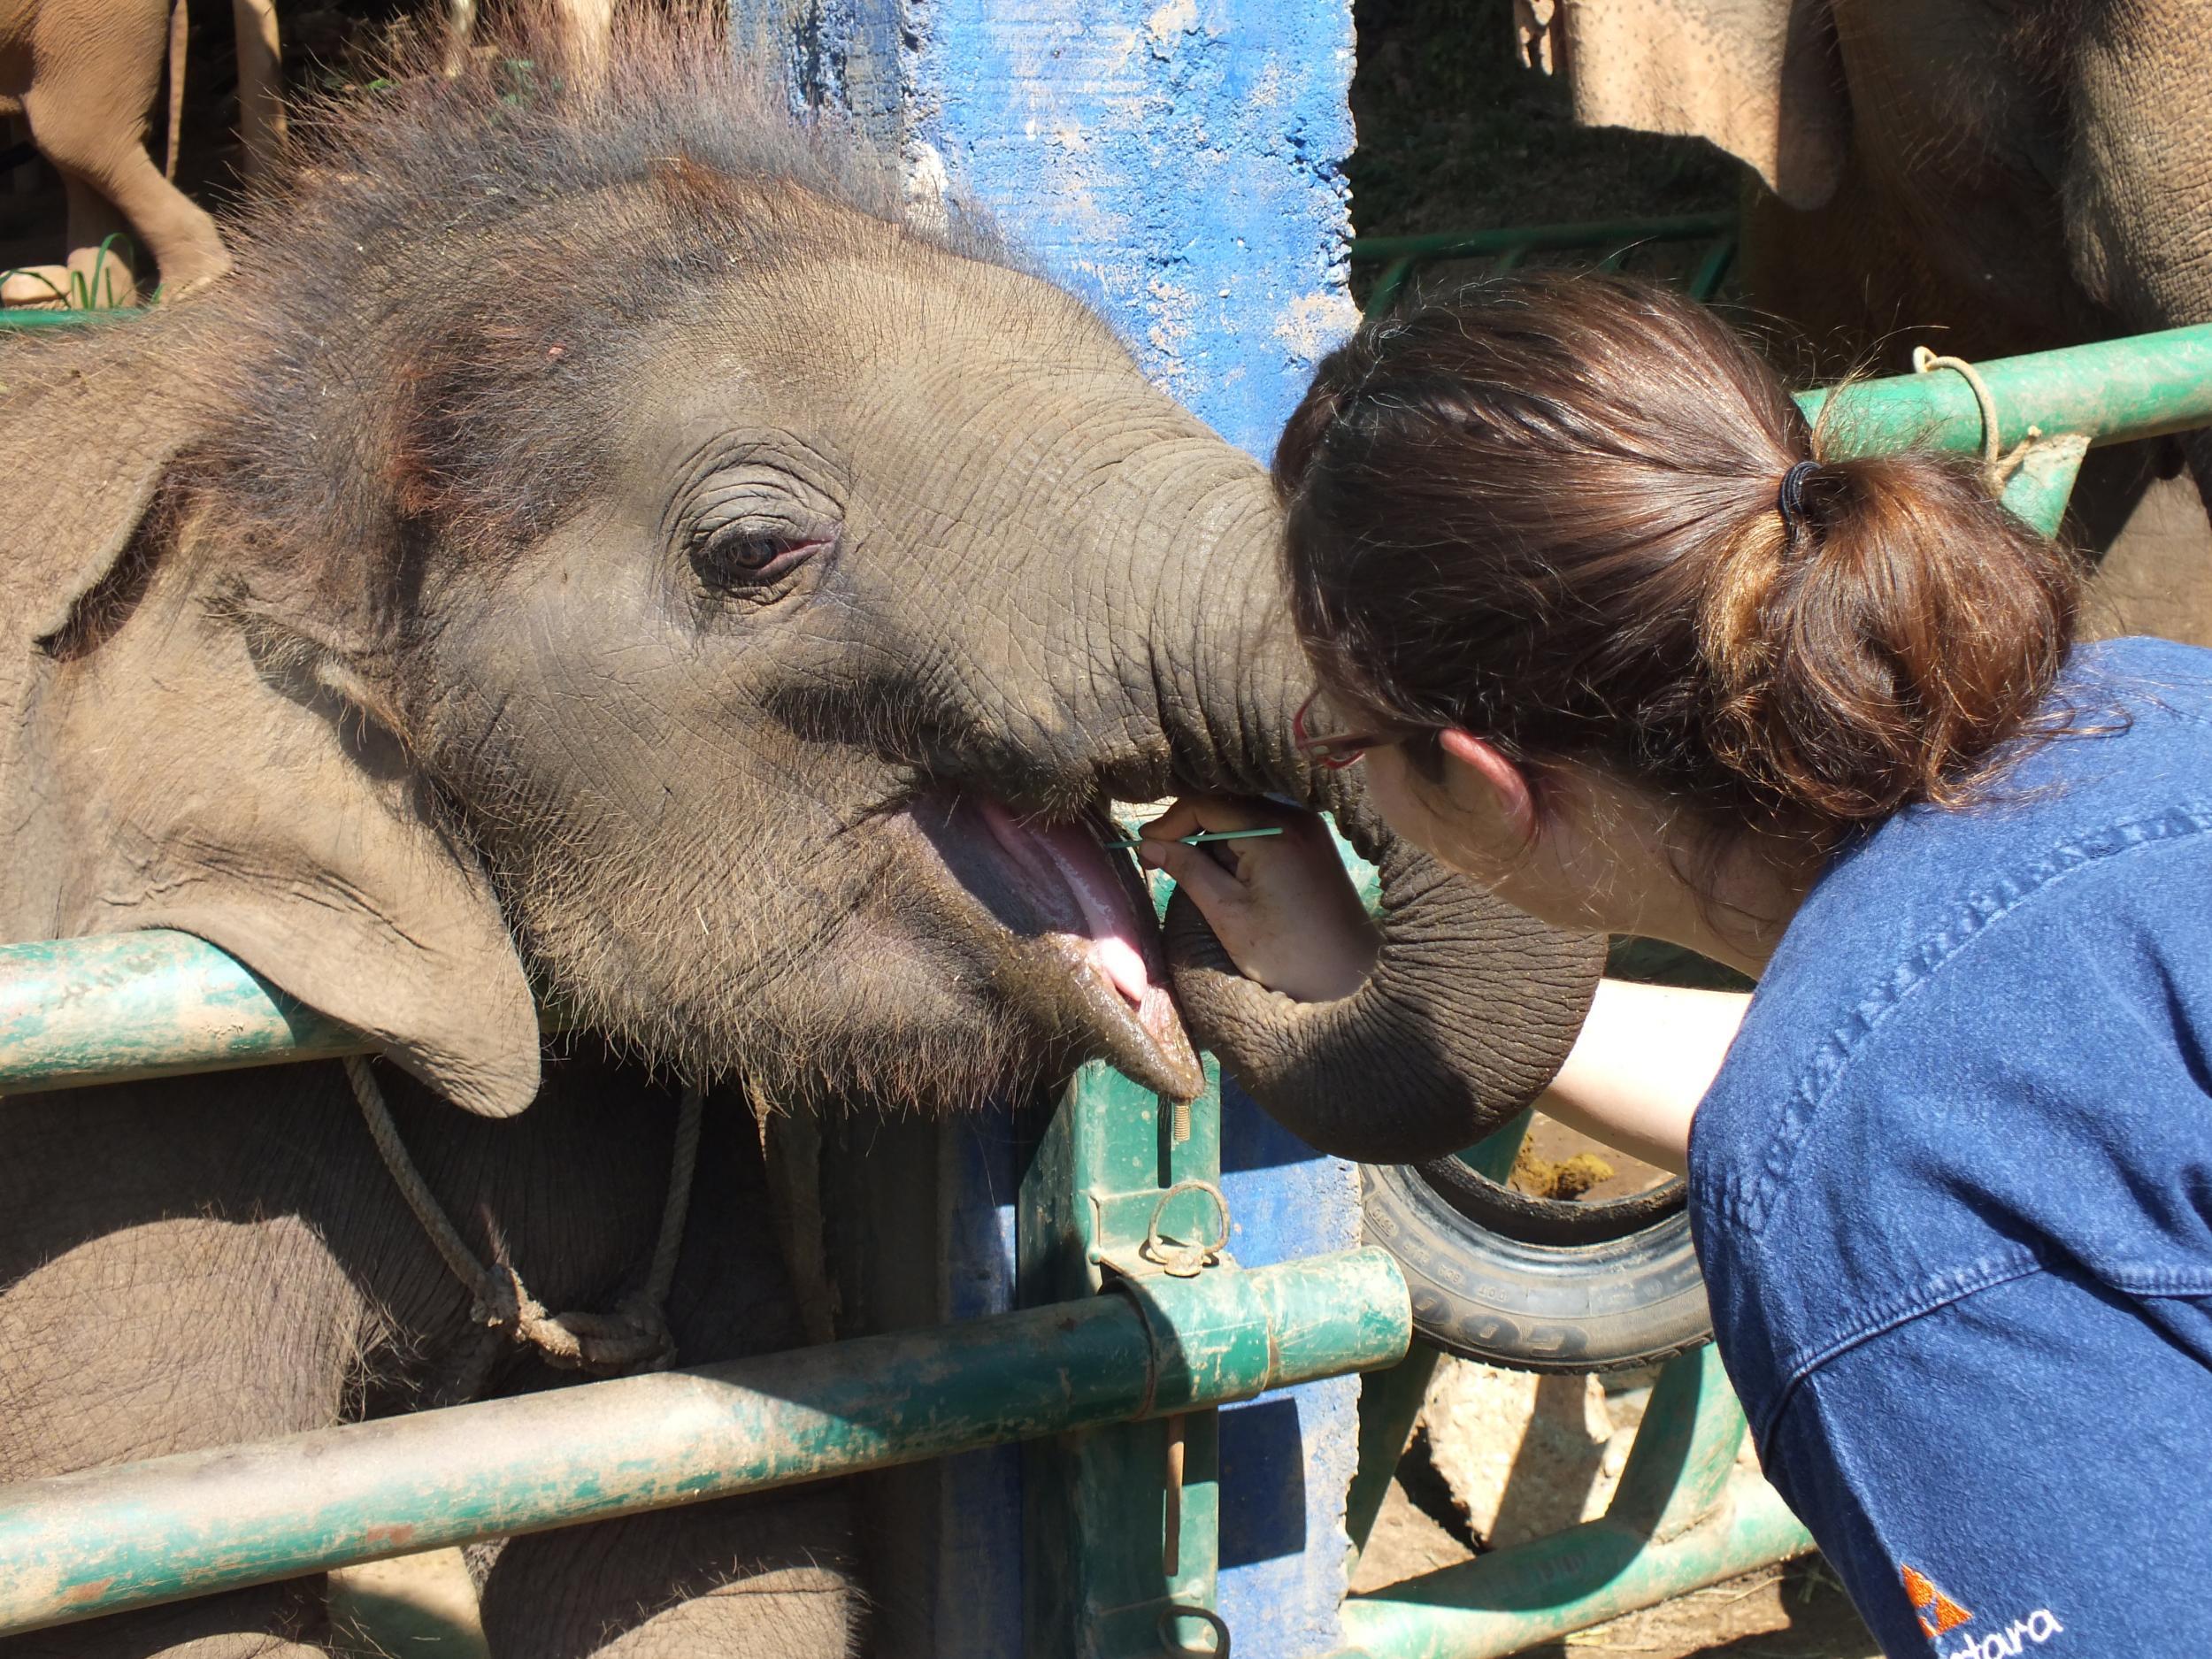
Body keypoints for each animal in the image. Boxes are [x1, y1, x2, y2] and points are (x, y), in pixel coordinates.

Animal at [0, 16, 1601, 1659]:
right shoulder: (132, 1132)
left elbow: (703, 1529)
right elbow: (167, 1573)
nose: (1223, 868)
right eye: (755, 551)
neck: (287, 401)